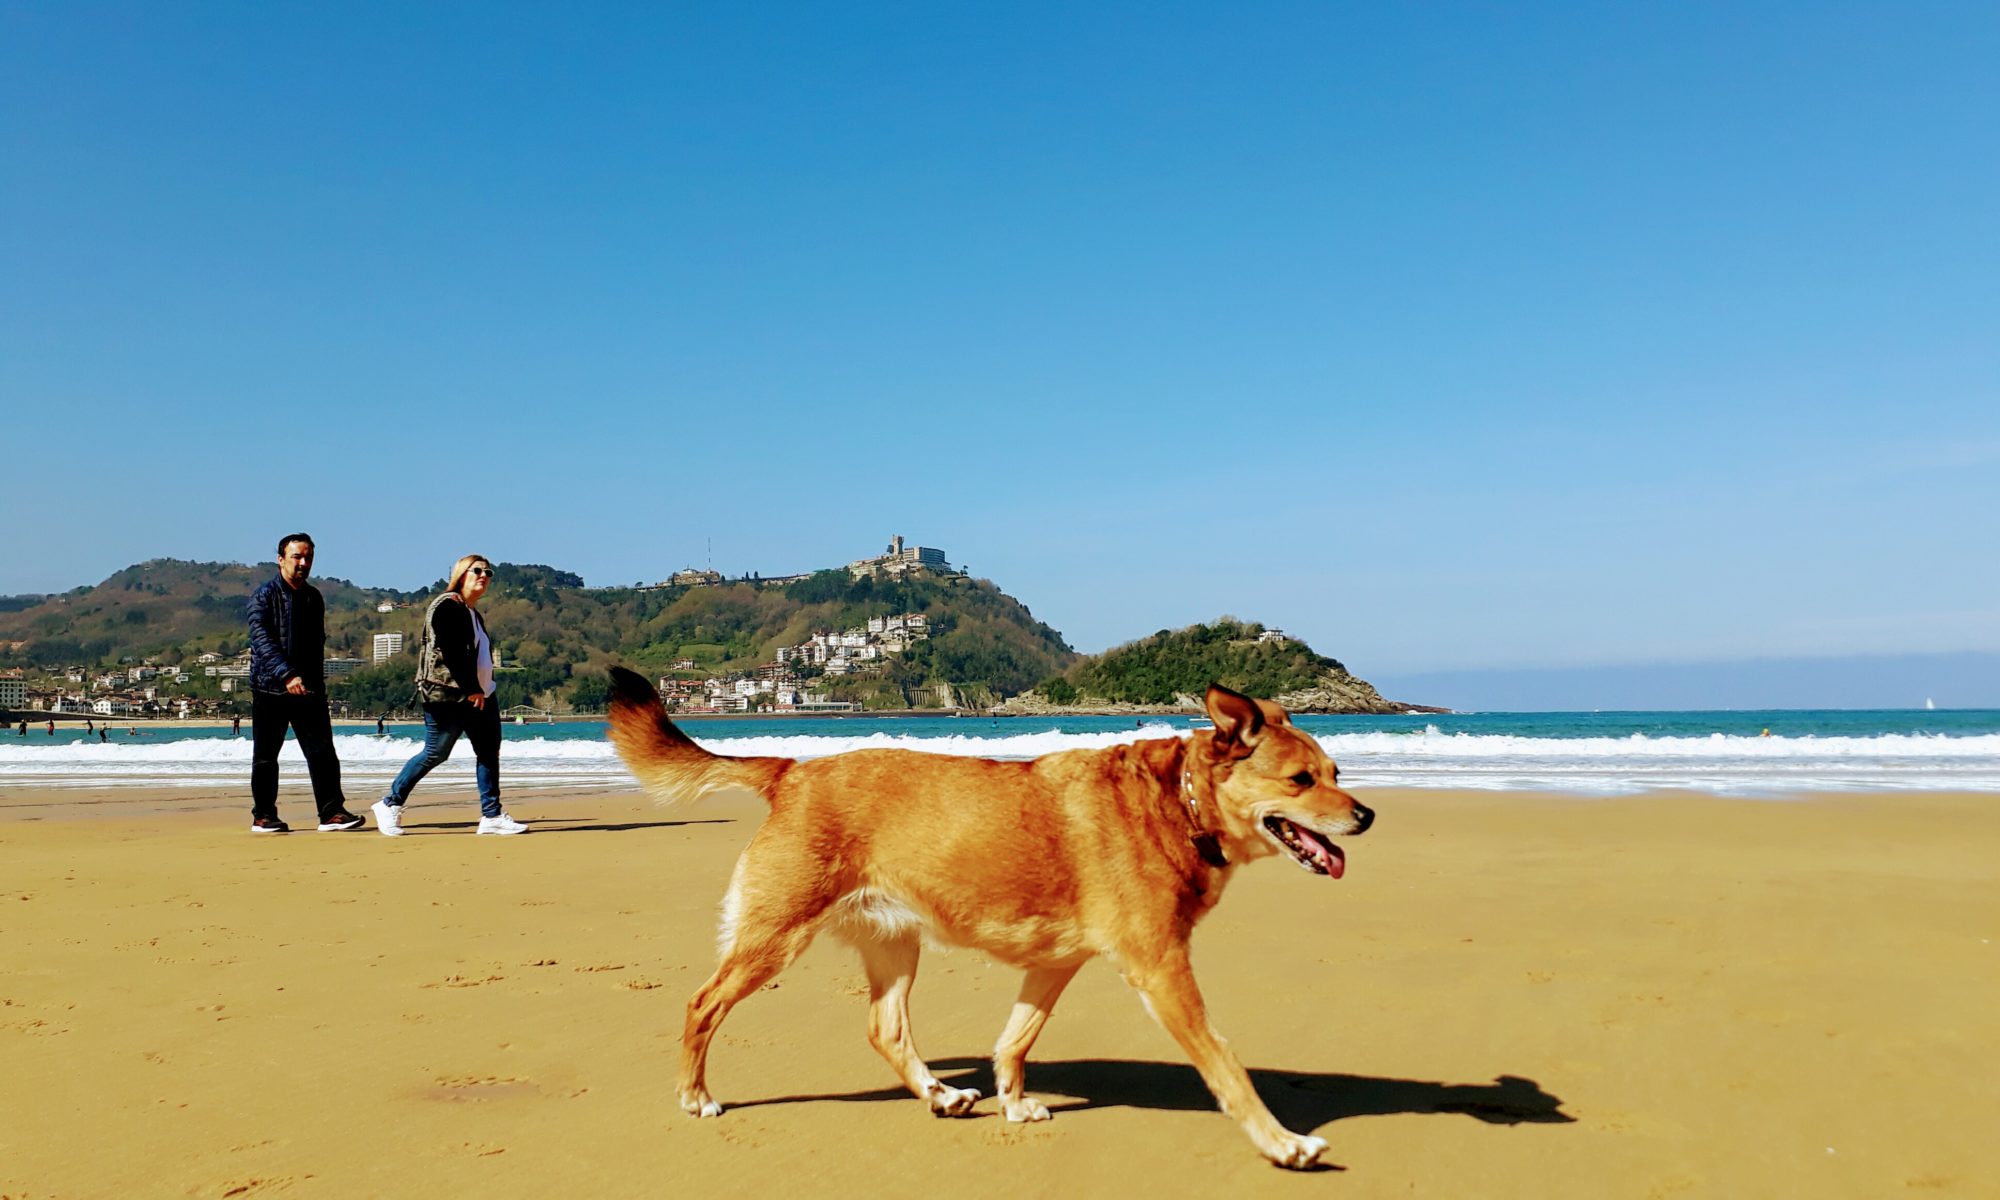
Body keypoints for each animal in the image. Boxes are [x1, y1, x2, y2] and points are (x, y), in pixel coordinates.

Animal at [600, 664, 1368, 1160]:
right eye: (1301, 780)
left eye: (1336, 773)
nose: (1366, 815)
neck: (1178, 804)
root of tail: (791, 769)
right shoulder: (1161, 970)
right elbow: (1225, 1063)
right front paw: (1280, 1141)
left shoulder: (1055, 965)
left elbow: (1015, 1040)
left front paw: (1013, 1101)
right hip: (773, 939)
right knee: (703, 1005)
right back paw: (695, 1094)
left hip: (896, 945)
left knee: (885, 1030)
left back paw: (940, 1095)